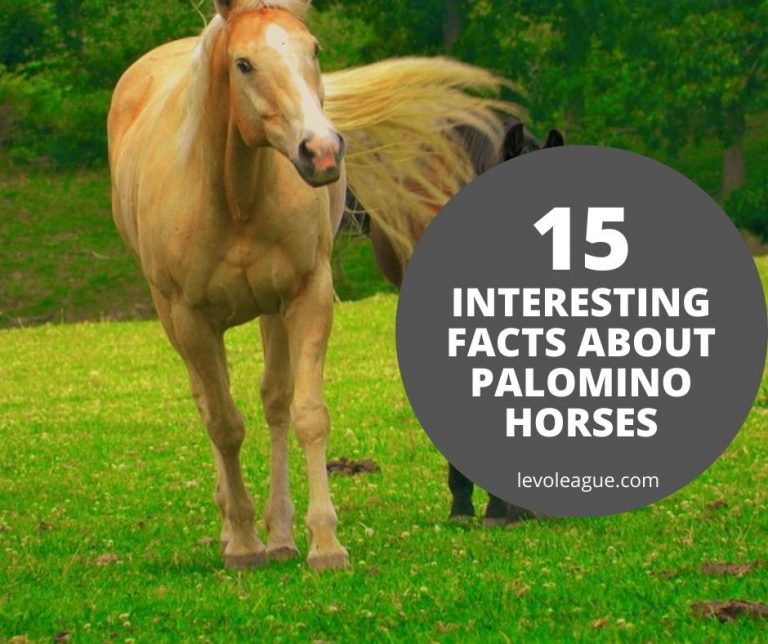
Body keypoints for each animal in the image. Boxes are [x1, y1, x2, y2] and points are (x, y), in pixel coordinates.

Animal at [108, 0, 518, 570]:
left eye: (314, 50)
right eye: (243, 64)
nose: (321, 152)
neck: (234, 195)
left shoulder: (306, 294)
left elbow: (306, 414)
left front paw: (324, 543)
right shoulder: (192, 317)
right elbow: (224, 425)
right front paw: (242, 543)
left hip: (270, 310)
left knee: (275, 404)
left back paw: (280, 534)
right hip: (176, 319)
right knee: (209, 404)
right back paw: (235, 530)